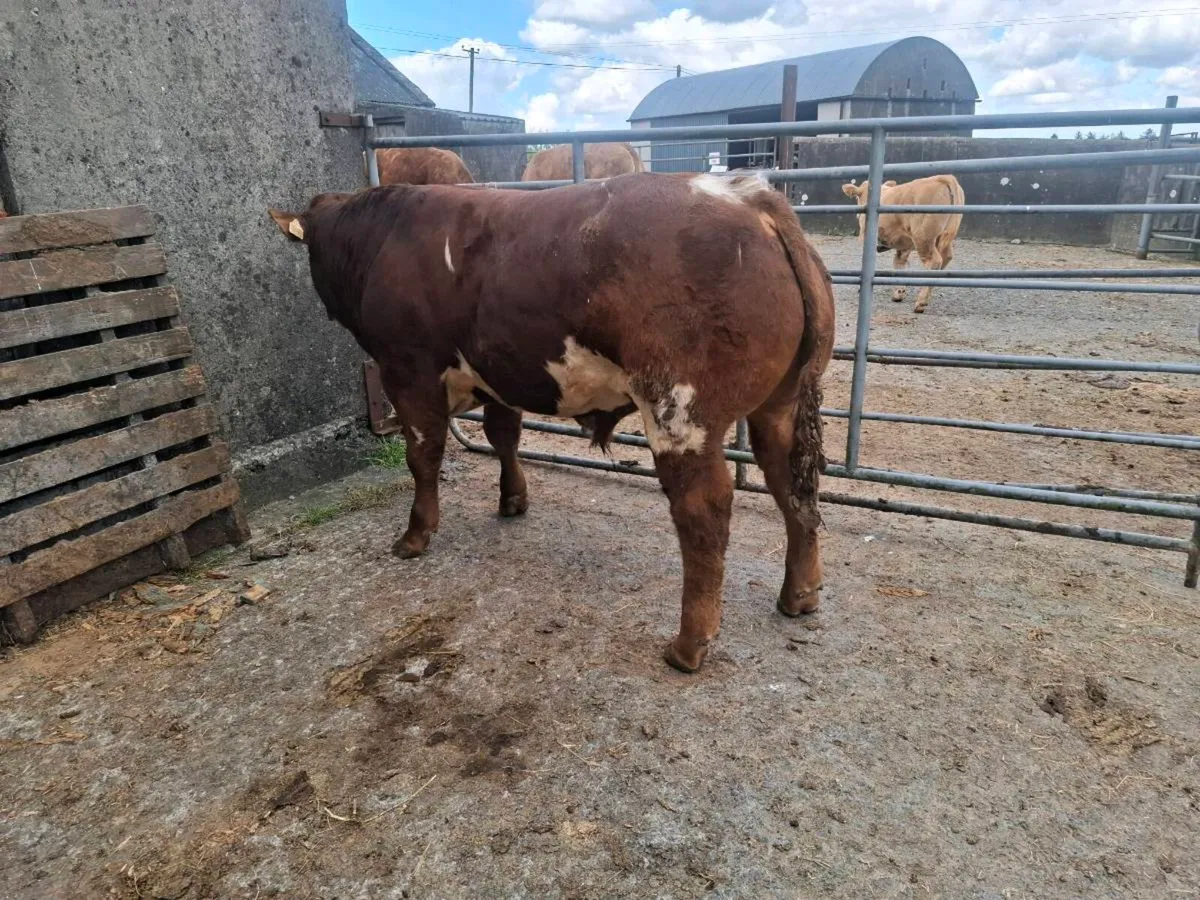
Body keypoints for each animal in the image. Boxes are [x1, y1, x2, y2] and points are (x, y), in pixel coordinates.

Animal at [269, 171, 834, 673]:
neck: (383, 237)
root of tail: (748, 197)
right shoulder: (500, 372)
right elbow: (503, 436)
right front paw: (513, 499)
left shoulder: (407, 371)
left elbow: (422, 455)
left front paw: (414, 535)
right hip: (778, 407)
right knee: (793, 485)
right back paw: (800, 593)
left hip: (680, 410)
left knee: (704, 511)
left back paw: (689, 644)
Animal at [841, 175, 964, 313]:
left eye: (857, 197)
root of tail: (942, 178)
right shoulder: (904, 245)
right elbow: (899, 263)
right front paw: (899, 292)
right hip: (944, 237)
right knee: (946, 258)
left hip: (923, 238)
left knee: (934, 262)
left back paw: (921, 302)